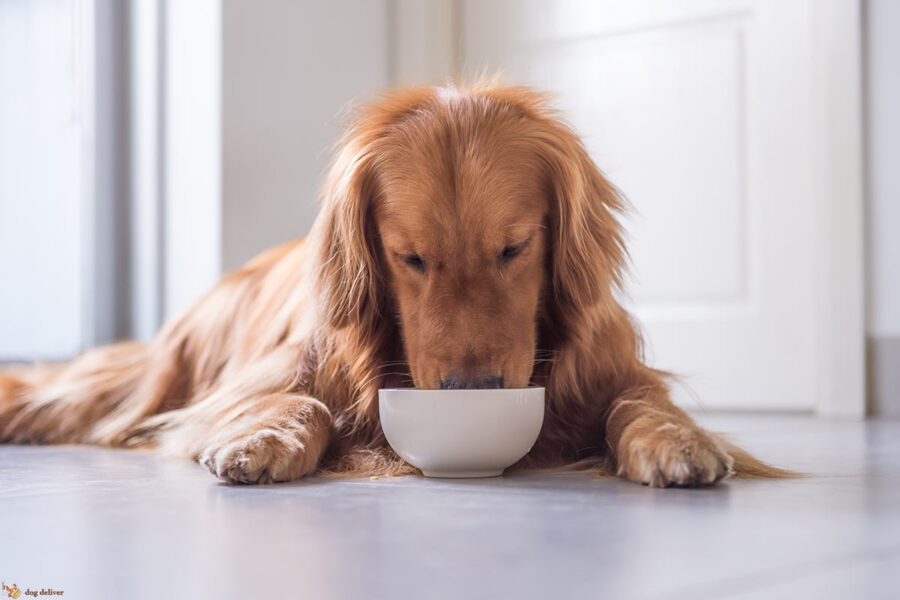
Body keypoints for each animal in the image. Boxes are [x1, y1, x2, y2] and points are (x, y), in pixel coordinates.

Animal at [0, 83, 784, 488]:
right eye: (410, 258)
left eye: (514, 247)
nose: (472, 392)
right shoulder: (268, 377)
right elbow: (299, 403)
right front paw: (265, 439)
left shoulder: (615, 371)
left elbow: (638, 404)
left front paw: (676, 441)